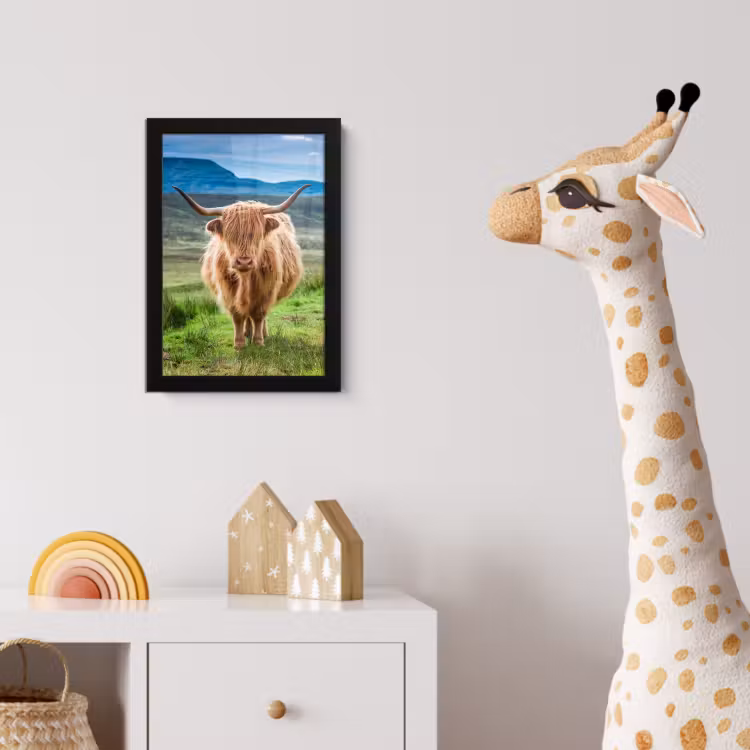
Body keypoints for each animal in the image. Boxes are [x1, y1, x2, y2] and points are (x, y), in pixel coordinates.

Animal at [172, 184, 309, 348]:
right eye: (230, 235)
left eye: (257, 235)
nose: (244, 262)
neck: (245, 279)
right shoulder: (228, 289)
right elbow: (238, 315)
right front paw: (239, 344)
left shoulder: (266, 290)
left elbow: (259, 315)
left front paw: (258, 341)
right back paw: (247, 332)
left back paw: (262, 333)